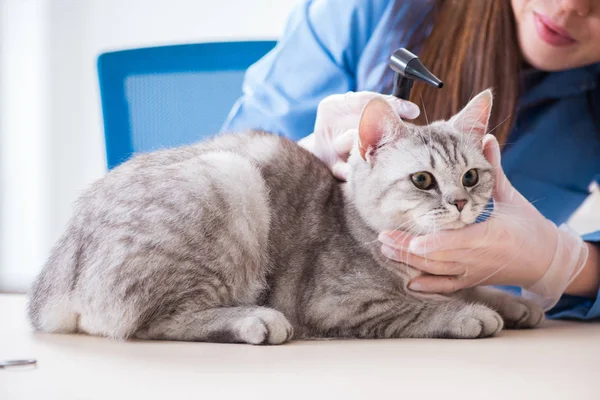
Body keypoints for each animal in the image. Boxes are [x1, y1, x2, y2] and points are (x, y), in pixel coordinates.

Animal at [27, 90, 544, 344]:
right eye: (423, 180)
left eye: (472, 176)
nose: (460, 202)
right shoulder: (339, 304)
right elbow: (419, 309)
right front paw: (470, 314)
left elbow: (476, 285)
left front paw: (512, 302)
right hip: (231, 179)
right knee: (153, 323)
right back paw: (254, 321)